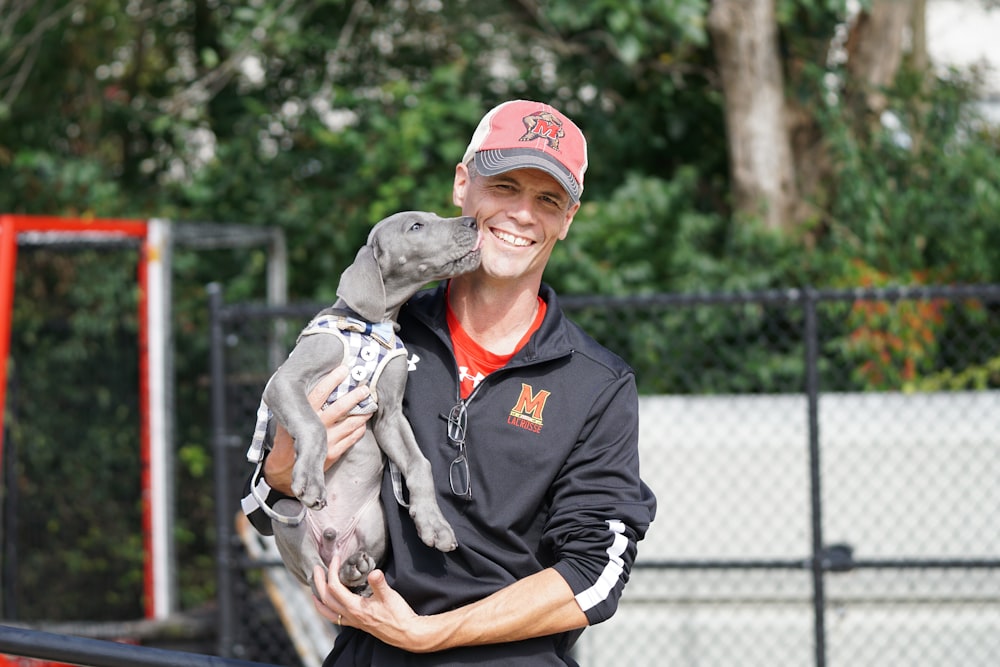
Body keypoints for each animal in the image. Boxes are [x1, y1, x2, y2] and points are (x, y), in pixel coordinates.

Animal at [252, 213, 482, 596]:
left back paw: (354, 570)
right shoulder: (284, 382)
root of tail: (331, 542)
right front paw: (312, 480)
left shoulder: (390, 416)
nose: (473, 221)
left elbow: (419, 464)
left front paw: (434, 524)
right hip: (286, 513)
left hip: (377, 521)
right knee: (316, 577)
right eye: (416, 226)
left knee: (345, 575)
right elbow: (314, 426)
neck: (373, 327)